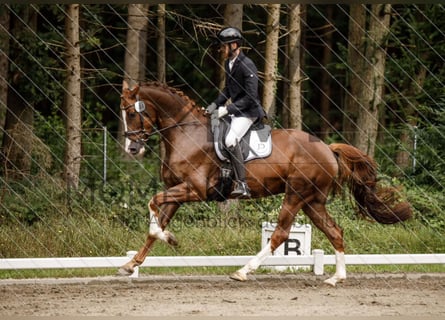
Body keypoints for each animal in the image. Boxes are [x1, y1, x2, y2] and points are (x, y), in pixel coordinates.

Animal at [116, 80, 412, 284]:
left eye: (131, 113)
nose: (132, 149)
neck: (185, 133)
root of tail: (328, 148)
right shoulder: (175, 191)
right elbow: (156, 223)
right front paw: (133, 263)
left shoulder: (194, 190)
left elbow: (152, 204)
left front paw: (169, 239)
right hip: (312, 201)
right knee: (334, 231)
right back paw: (335, 278)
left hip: (296, 195)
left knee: (280, 234)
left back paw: (243, 271)